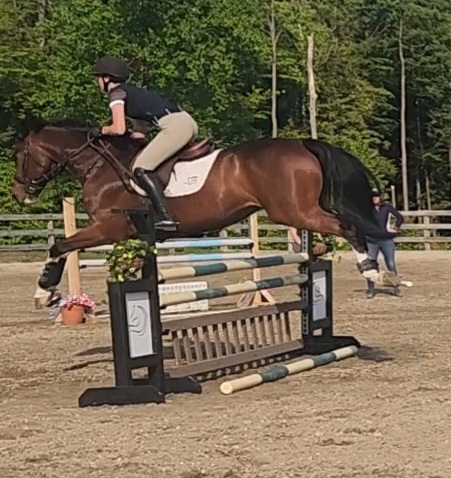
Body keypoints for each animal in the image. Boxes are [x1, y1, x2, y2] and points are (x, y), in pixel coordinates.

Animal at [12, 118, 401, 303]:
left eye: (19, 155)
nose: (18, 195)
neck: (100, 166)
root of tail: (304, 144)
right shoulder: (128, 235)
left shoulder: (109, 228)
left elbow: (59, 246)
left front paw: (44, 292)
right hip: (297, 211)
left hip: (294, 212)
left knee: (347, 226)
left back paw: (374, 272)